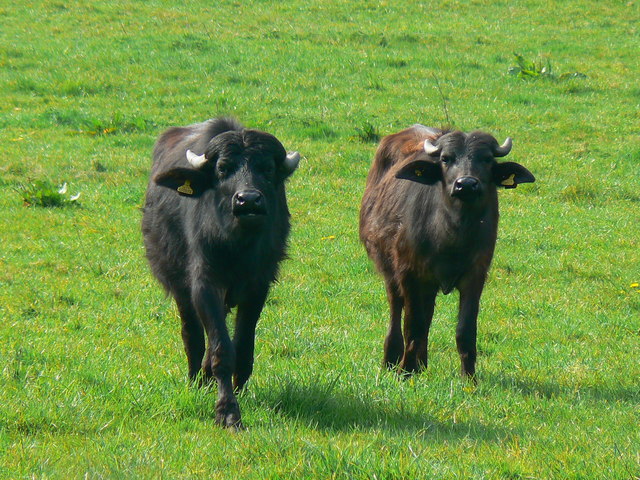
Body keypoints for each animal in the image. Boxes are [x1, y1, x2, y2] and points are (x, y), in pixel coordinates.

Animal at [142, 117, 300, 428]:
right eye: (223, 168)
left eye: (267, 169)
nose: (248, 200)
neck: (237, 245)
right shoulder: (204, 284)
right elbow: (221, 349)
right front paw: (227, 411)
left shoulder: (259, 285)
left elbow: (243, 346)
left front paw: (239, 390)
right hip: (179, 286)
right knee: (192, 334)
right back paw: (195, 380)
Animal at [359, 124, 534, 378]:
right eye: (445, 159)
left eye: (486, 158)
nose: (466, 184)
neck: (452, 235)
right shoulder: (409, 273)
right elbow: (413, 325)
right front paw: (405, 372)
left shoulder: (476, 275)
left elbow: (465, 330)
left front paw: (469, 378)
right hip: (388, 268)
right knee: (396, 308)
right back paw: (392, 360)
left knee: (428, 315)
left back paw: (422, 364)